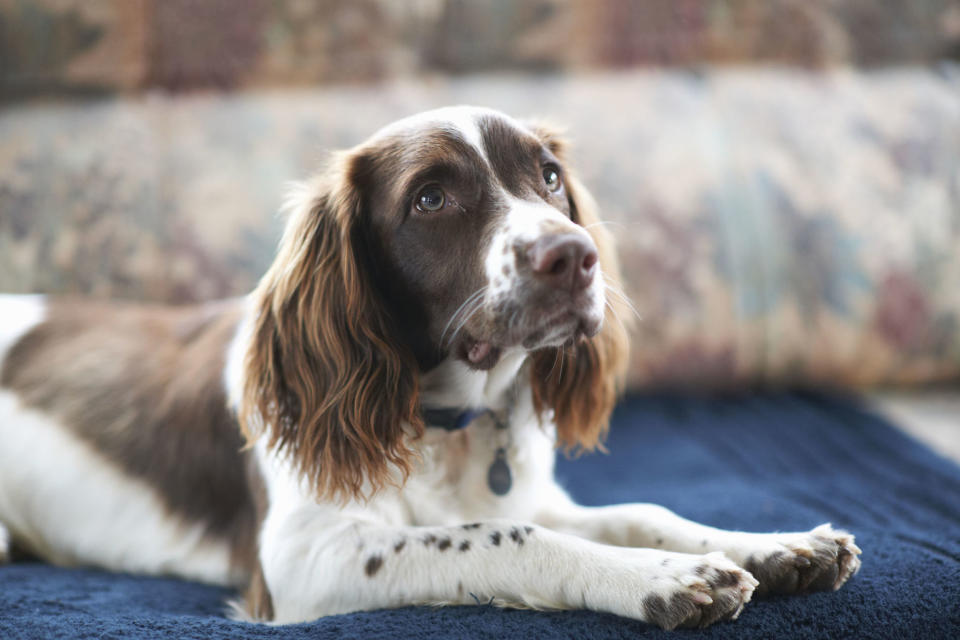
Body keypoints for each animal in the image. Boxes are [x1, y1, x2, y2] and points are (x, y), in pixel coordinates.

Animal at [0, 106, 860, 632]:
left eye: (549, 175)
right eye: (431, 199)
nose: (575, 257)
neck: (445, 424)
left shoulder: (536, 492)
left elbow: (639, 510)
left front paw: (777, 545)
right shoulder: (302, 555)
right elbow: (501, 535)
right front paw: (665, 578)